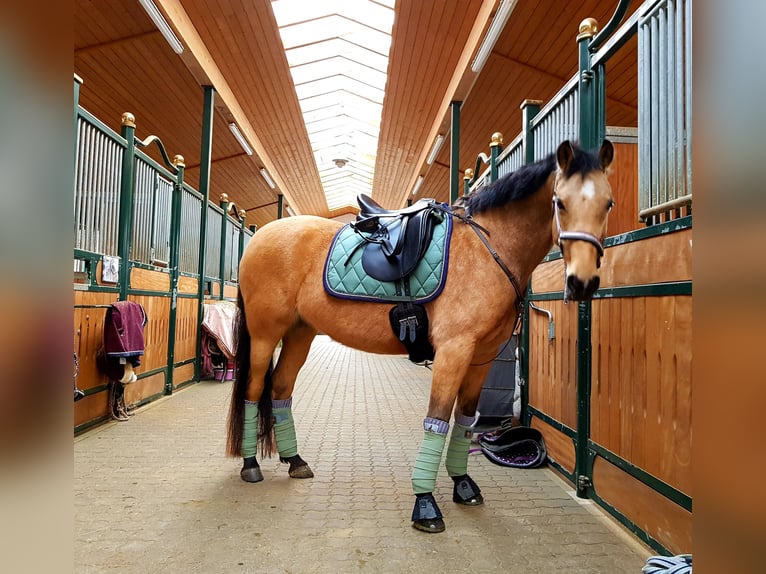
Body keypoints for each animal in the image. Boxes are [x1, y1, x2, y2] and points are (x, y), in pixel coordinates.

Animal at [225, 140, 616, 536]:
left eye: (608, 203)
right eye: (559, 203)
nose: (582, 282)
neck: (488, 249)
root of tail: (261, 236)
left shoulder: (482, 356)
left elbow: (465, 420)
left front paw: (463, 484)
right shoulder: (453, 352)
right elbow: (437, 420)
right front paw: (425, 504)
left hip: (299, 334)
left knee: (281, 390)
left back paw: (295, 461)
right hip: (265, 337)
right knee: (253, 392)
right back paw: (250, 465)